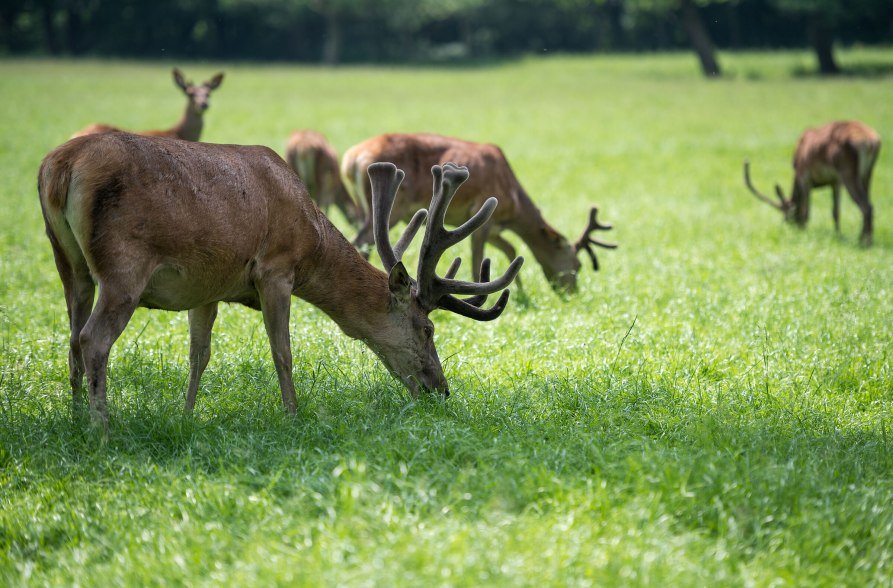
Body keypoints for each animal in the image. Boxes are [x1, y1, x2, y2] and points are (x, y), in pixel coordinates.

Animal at [38, 131, 524, 424]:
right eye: (427, 328)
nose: (441, 389)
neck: (313, 240)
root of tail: (59, 168)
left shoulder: (207, 285)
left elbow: (199, 355)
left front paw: (187, 416)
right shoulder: (276, 267)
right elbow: (282, 351)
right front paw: (293, 415)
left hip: (69, 263)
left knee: (72, 337)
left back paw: (75, 416)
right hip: (123, 264)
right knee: (93, 339)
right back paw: (103, 427)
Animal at [338, 133, 616, 294]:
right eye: (577, 265)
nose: (571, 292)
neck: (513, 203)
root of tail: (351, 159)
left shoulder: (495, 229)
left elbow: (511, 251)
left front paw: (521, 294)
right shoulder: (482, 215)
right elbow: (476, 263)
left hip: (364, 206)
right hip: (393, 206)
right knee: (361, 241)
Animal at [744, 121, 880, 246]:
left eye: (788, 216)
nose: (788, 228)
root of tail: (871, 142)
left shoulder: (805, 177)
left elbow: (806, 211)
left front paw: (804, 233)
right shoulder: (835, 181)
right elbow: (835, 212)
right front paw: (838, 235)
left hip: (847, 172)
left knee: (866, 206)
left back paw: (864, 242)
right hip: (867, 174)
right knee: (869, 204)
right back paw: (866, 239)